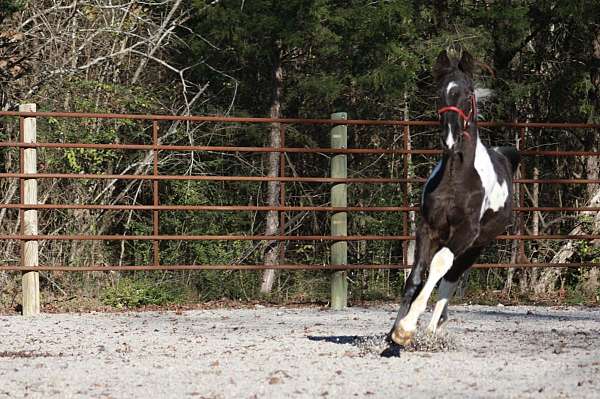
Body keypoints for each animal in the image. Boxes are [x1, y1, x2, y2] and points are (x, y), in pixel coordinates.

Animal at [390, 50, 520, 346]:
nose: (450, 139)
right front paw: (394, 332)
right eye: (440, 93)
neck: (455, 178)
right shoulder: (428, 228)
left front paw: (407, 328)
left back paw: (431, 329)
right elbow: (416, 276)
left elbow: (439, 267)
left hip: (475, 247)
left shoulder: (466, 232)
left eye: (468, 93)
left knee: (450, 279)